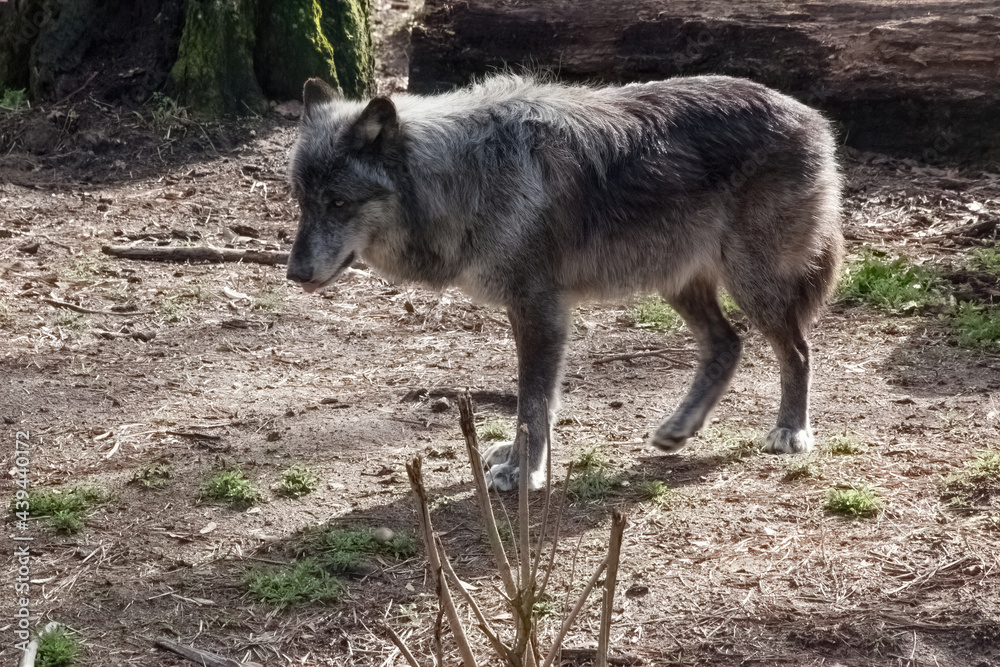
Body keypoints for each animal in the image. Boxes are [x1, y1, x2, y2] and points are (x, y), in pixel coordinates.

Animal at [286, 74, 840, 490]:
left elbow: (532, 400)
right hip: (677, 281)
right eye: (303, 201)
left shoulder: (540, 308)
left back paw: (791, 430)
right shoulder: (526, 309)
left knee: (798, 350)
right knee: (727, 344)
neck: (465, 175)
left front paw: (522, 473)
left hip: (750, 283)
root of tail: (814, 118)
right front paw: (518, 458)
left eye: (339, 202)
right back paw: (679, 430)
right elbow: (534, 403)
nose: (294, 273)